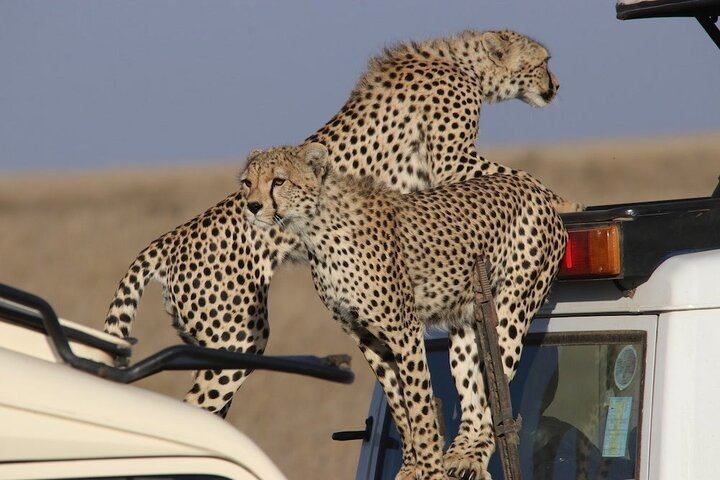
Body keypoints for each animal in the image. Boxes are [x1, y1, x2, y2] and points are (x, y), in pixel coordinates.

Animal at [102, 29, 580, 416]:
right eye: (543, 61)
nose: (556, 85)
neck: (462, 62)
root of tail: (168, 239)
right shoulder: (452, 159)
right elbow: (521, 173)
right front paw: (564, 199)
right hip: (236, 335)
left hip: (221, 341)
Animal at [240, 143, 568, 480]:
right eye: (247, 183)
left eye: (279, 181)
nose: (252, 206)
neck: (315, 228)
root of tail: (531, 185)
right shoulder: (368, 339)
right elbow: (400, 408)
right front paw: (412, 468)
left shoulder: (404, 332)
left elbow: (420, 407)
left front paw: (430, 470)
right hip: (465, 328)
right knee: (473, 394)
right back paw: (461, 456)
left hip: (509, 312)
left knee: (497, 392)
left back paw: (473, 457)